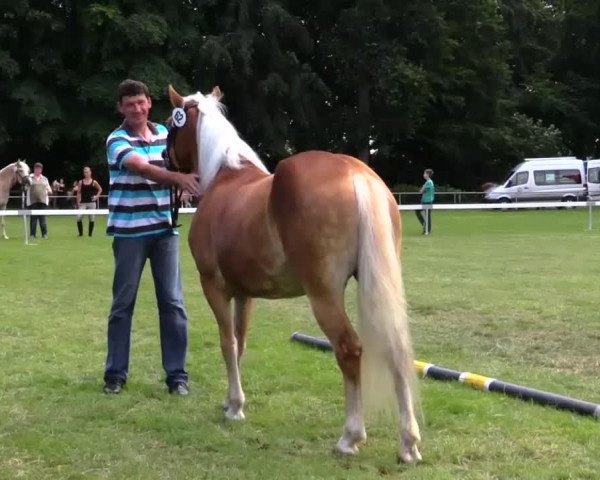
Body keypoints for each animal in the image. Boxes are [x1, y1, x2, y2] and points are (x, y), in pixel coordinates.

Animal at [166, 85, 420, 462]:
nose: (164, 160)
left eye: (171, 126)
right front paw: (231, 402)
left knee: (349, 349)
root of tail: (356, 175)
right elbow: (240, 343)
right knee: (396, 349)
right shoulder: (244, 294)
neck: (227, 177)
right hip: (378, 285)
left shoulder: (215, 287)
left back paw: (350, 437)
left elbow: (227, 343)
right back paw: (408, 444)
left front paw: (234, 407)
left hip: (323, 296)